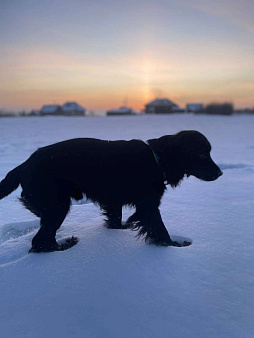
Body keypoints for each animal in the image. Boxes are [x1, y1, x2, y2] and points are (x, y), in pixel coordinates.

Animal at [0, 131, 222, 252]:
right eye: (202, 154)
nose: (220, 173)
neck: (156, 159)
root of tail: (23, 165)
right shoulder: (148, 205)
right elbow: (160, 229)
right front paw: (174, 246)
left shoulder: (115, 201)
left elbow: (116, 219)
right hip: (58, 205)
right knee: (40, 241)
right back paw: (66, 246)